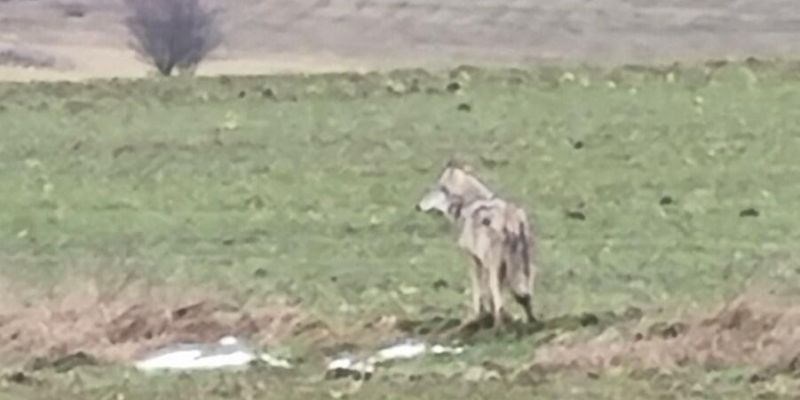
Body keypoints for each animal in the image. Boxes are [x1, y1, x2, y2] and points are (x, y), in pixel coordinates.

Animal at [412, 161, 536, 326]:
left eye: (437, 188)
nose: (417, 206)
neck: (468, 203)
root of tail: (511, 219)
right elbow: (488, 294)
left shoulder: (473, 259)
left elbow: (478, 291)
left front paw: (478, 317)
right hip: (524, 265)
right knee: (526, 294)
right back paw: (531, 323)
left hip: (496, 266)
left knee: (499, 296)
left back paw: (499, 326)